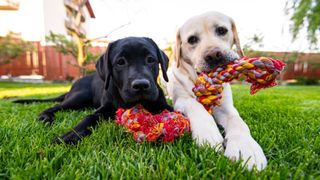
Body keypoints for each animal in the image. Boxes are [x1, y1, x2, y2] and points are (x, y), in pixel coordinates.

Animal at [13, 37, 172, 145]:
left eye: (150, 59)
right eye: (120, 62)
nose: (141, 85)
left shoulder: (162, 104)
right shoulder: (104, 108)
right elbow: (89, 118)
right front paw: (69, 136)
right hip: (79, 97)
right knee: (55, 106)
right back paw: (46, 117)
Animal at [168, 11, 268, 170]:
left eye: (221, 30)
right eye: (192, 39)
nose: (214, 55)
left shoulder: (226, 108)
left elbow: (238, 122)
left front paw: (246, 147)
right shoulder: (180, 100)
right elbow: (194, 104)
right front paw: (208, 133)